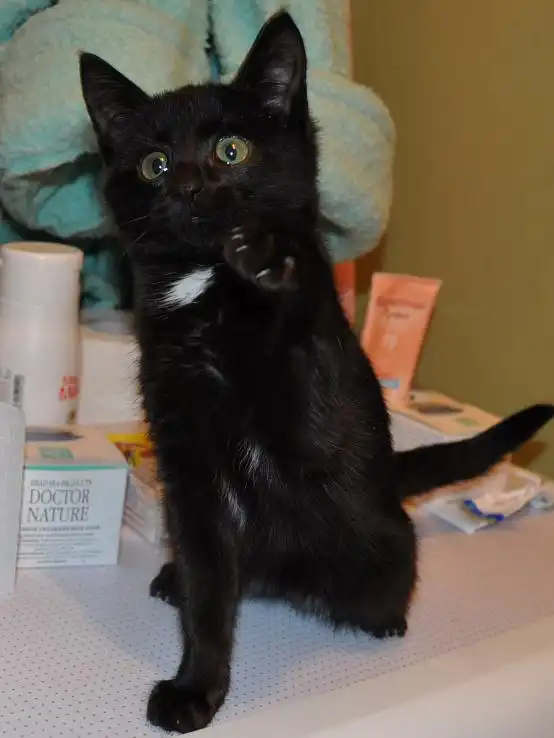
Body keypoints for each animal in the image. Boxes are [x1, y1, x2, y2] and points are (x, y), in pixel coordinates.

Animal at [79, 11, 554, 734]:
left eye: (232, 151)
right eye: (153, 165)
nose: (186, 186)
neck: (203, 289)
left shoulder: (312, 419)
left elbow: (298, 359)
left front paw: (273, 265)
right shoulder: (185, 458)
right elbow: (210, 590)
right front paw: (198, 684)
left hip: (372, 553)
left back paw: (386, 617)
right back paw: (175, 576)